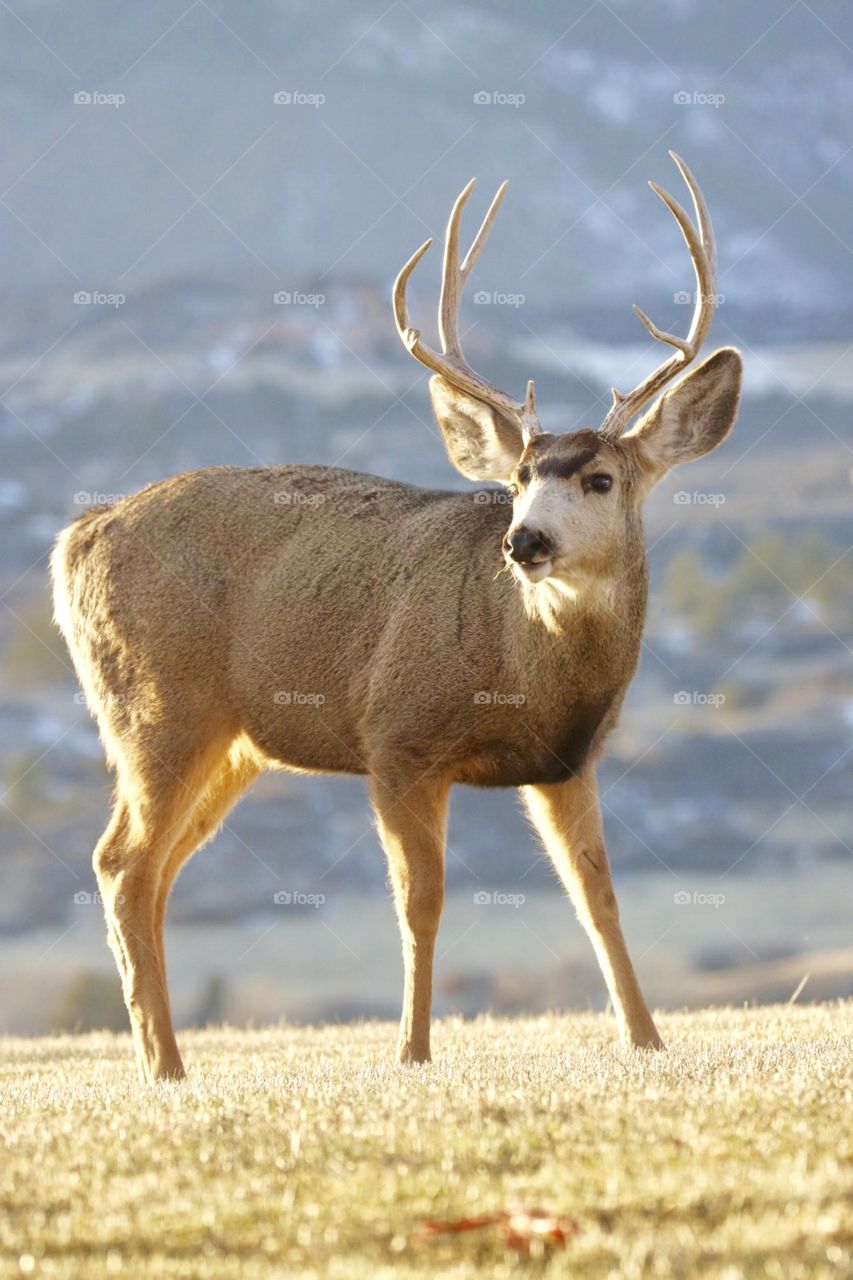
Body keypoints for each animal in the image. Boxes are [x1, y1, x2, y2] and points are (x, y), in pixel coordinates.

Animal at [51, 154, 737, 1085]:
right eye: (517, 479)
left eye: (600, 479)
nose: (523, 540)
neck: (522, 675)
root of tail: (74, 537)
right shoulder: (397, 738)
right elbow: (421, 901)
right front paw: (411, 1050)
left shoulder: (567, 762)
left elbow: (596, 896)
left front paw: (647, 1039)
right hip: (156, 708)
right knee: (122, 862)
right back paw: (164, 1068)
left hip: (230, 743)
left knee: (151, 870)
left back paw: (164, 1057)